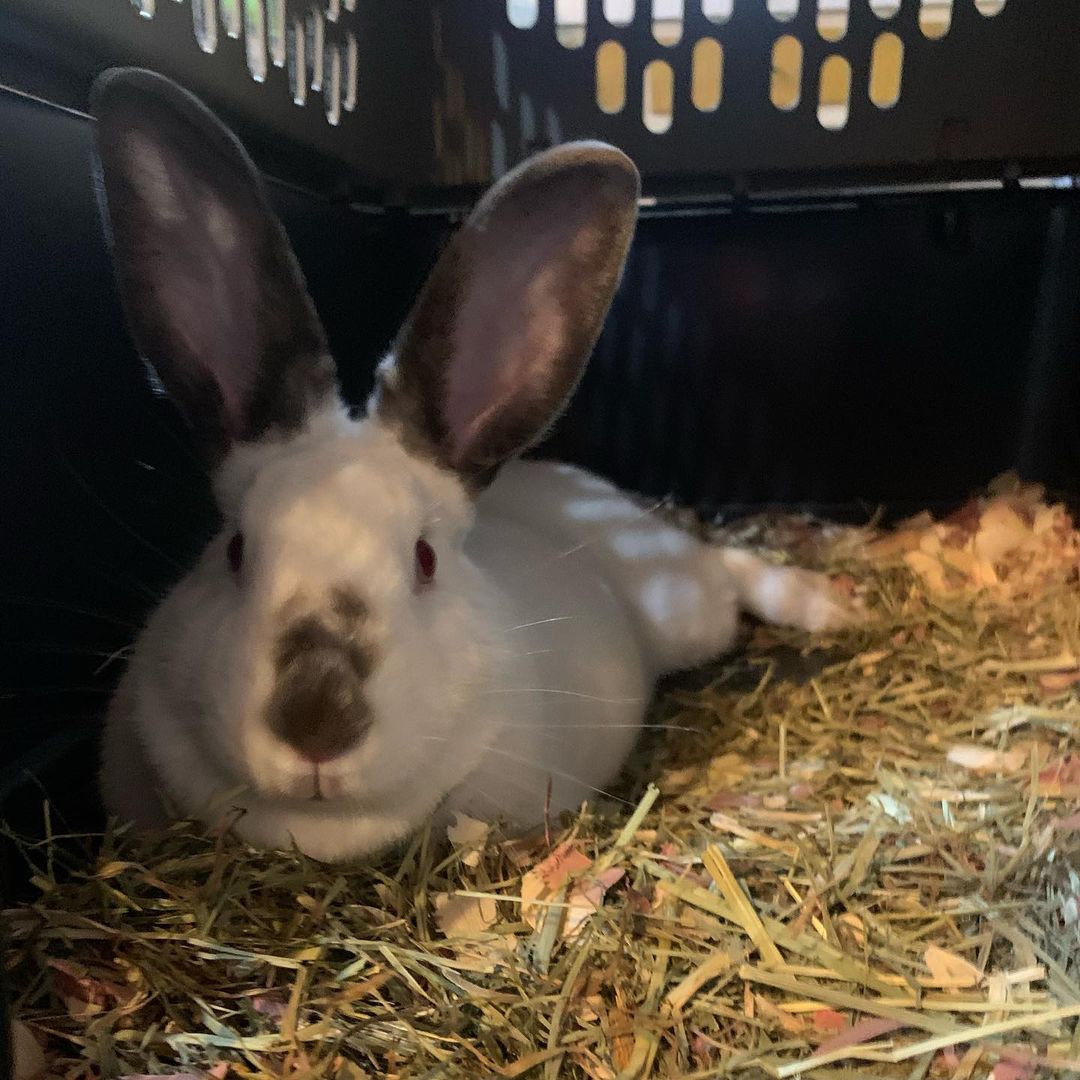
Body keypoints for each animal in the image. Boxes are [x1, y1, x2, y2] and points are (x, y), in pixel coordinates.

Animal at [90, 69, 851, 859]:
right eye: (235, 550)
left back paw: (827, 603)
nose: (318, 722)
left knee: (726, 572)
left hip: (686, 607)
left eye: (424, 559)